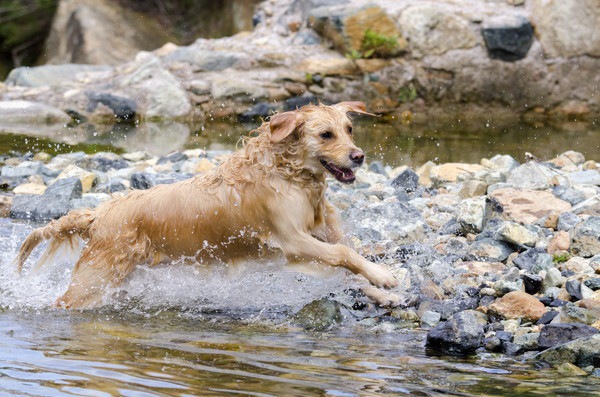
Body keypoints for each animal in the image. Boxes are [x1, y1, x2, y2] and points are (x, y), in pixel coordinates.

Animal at [15, 101, 398, 306]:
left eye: (350, 129)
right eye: (325, 135)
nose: (359, 156)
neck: (289, 175)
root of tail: (98, 213)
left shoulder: (320, 235)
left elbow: (347, 263)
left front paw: (379, 290)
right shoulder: (292, 240)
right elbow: (345, 255)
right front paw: (383, 276)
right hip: (94, 279)